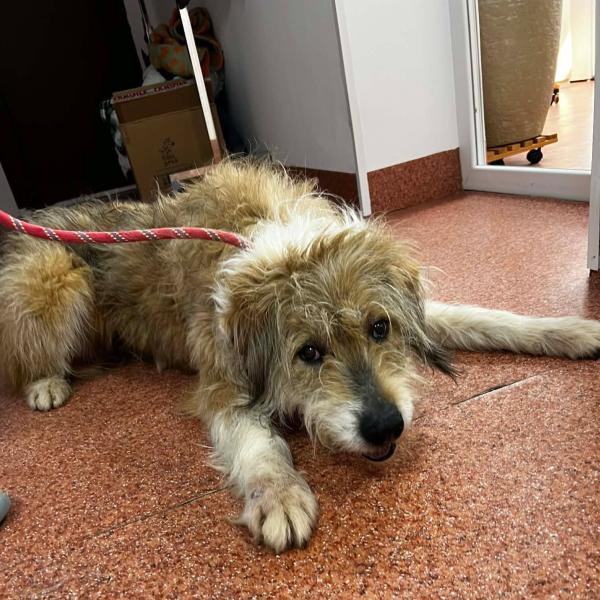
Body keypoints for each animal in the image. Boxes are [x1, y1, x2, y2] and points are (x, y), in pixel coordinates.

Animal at [1, 160, 599, 552]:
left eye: (379, 327)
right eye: (308, 352)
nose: (385, 425)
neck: (277, 242)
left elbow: (484, 316)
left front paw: (571, 331)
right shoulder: (225, 383)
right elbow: (257, 443)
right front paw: (281, 495)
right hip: (54, 279)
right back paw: (46, 383)